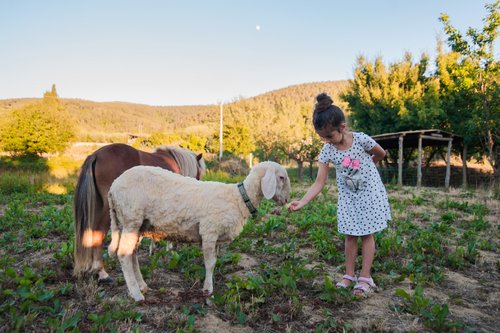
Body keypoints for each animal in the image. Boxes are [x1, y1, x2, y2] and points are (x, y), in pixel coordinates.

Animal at [107, 161, 292, 300]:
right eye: (281, 177)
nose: (286, 200)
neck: (239, 198)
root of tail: (113, 187)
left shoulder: (216, 238)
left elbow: (214, 262)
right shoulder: (209, 231)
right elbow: (210, 263)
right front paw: (207, 289)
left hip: (137, 225)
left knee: (132, 254)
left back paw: (142, 286)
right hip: (131, 218)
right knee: (123, 255)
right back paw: (136, 294)